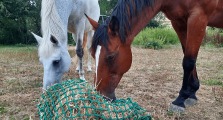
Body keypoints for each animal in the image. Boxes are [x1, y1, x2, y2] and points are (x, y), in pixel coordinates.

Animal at [86, 0, 223, 113]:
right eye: (92, 54)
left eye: (111, 56)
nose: (99, 95)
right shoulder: (179, 23)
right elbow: (188, 56)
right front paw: (192, 93)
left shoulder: (198, 18)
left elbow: (189, 61)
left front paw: (180, 100)